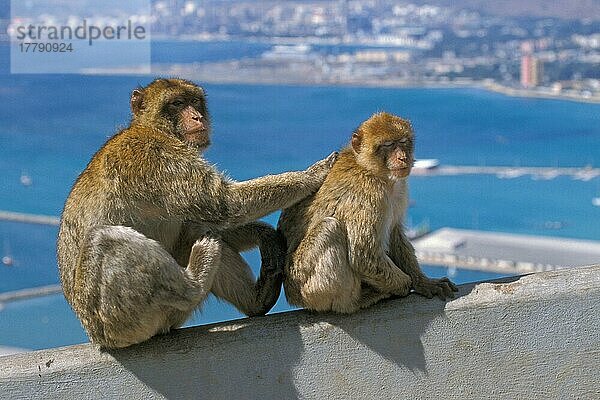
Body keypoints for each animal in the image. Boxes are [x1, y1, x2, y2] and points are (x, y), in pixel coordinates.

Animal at [58, 78, 336, 346]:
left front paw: (264, 234)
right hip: (121, 320)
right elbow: (223, 203)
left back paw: (258, 300)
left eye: (195, 101)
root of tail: (97, 338)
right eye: (177, 103)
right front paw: (312, 175)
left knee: (196, 230)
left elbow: (207, 218)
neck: (155, 129)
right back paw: (194, 282)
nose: (197, 117)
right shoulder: (158, 155)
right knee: (105, 239)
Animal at [278, 111, 458, 312]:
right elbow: (363, 255)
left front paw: (423, 282)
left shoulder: (399, 188)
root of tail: (292, 296)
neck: (374, 171)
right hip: (307, 285)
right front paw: (406, 284)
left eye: (403, 142)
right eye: (388, 145)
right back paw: (357, 300)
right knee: (330, 228)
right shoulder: (368, 193)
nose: (403, 157)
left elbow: (394, 234)